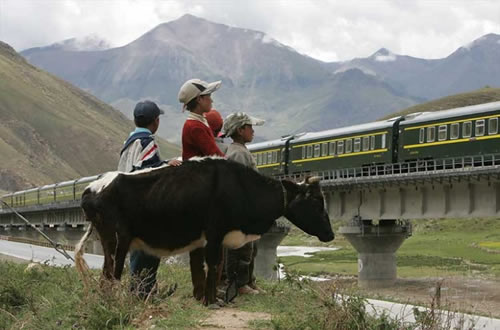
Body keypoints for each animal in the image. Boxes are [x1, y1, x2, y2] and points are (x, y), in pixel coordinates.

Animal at [75, 157, 332, 304]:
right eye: (316, 202)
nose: (330, 235)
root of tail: (92, 187)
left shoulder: (204, 240)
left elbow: (204, 269)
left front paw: (204, 298)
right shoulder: (215, 234)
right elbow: (214, 266)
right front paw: (211, 301)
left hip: (109, 241)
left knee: (106, 273)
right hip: (118, 240)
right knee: (112, 274)